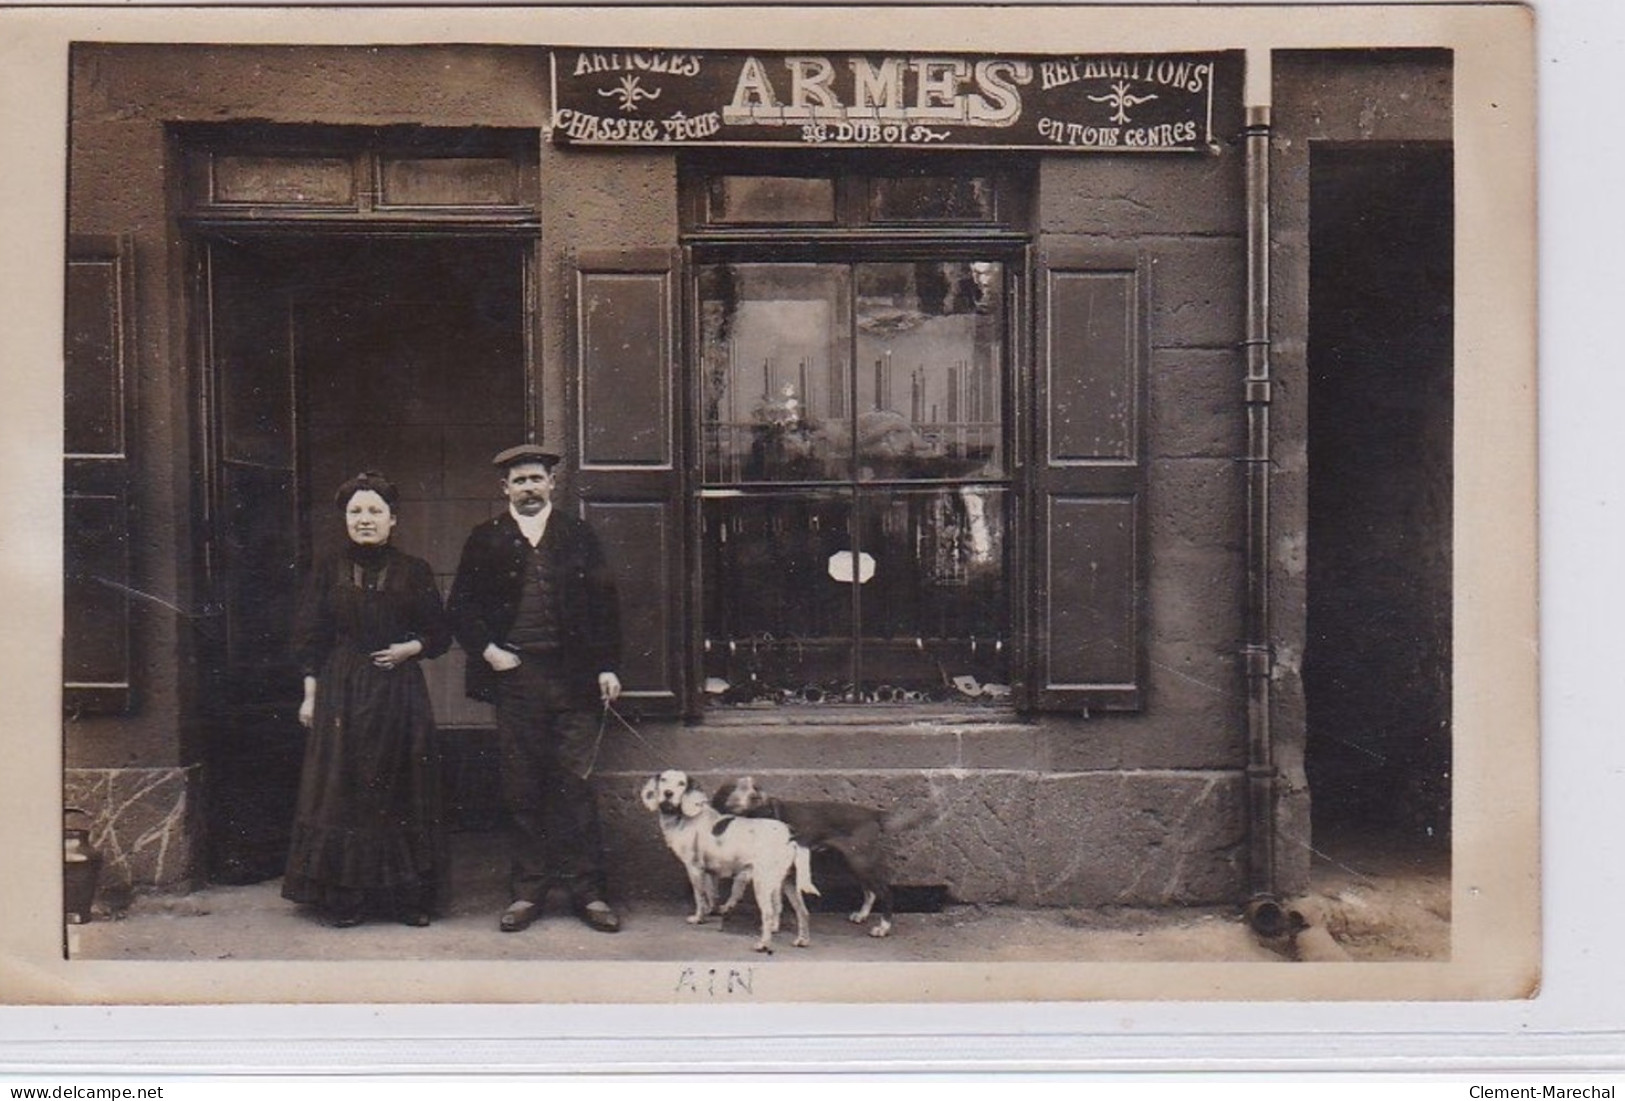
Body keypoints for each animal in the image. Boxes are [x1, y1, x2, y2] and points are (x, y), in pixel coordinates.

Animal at [633, 772, 812, 954]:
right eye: (663, 780)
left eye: (681, 783)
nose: (668, 793)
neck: (684, 817)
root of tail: (791, 835)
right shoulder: (710, 872)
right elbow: (712, 894)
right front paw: (713, 911)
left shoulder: (694, 868)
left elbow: (700, 896)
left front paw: (699, 918)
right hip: (787, 882)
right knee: (802, 911)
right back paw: (802, 940)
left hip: (762, 882)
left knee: (769, 913)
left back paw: (763, 944)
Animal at [711, 776, 929, 941]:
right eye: (734, 788)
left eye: (755, 787)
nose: (756, 796)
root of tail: (873, 813)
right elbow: (775, 901)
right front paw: (772, 925)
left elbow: (771, 900)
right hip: (852, 862)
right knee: (870, 892)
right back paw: (862, 915)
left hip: (861, 862)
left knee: (886, 892)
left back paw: (883, 927)